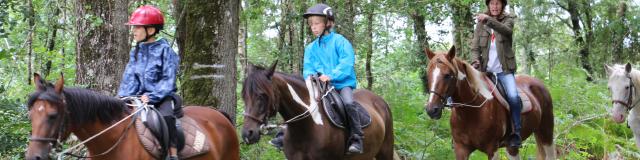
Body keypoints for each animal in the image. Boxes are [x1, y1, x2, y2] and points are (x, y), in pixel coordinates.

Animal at [424, 45, 556, 159]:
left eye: (447, 75)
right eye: (428, 75)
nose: (432, 110)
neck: (471, 111)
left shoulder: (492, 149)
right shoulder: (461, 149)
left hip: (546, 133)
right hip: (512, 147)